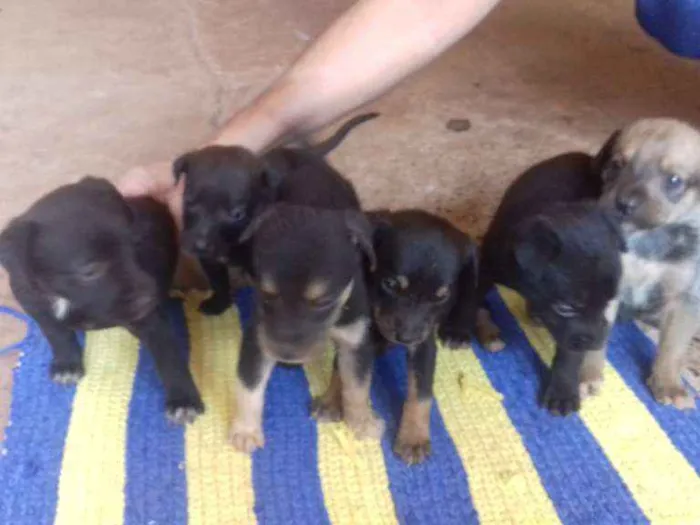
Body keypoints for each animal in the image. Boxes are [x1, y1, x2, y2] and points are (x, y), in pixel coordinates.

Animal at [0, 178, 202, 424]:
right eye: (90, 270)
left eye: (134, 245)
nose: (149, 296)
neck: (68, 298)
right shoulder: (35, 303)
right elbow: (57, 334)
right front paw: (67, 363)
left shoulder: (152, 322)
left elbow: (169, 359)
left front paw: (184, 401)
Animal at [173, 111, 380, 316]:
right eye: (188, 202)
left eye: (237, 214)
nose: (199, 245)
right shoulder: (211, 260)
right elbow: (218, 282)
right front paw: (218, 304)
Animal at [366, 209, 476, 462]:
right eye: (390, 283)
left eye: (441, 296)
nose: (405, 338)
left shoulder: (424, 343)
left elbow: (422, 393)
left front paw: (413, 439)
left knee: (469, 296)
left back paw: (457, 330)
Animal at [478, 154, 628, 416]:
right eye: (566, 307)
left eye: (608, 302)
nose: (597, 340)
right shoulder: (487, 264)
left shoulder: (573, 334)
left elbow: (570, 354)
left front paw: (563, 390)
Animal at [592, 118, 700, 410]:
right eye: (616, 165)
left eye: (674, 180)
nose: (624, 204)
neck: (648, 237)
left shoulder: (683, 299)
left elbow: (673, 348)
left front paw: (668, 384)